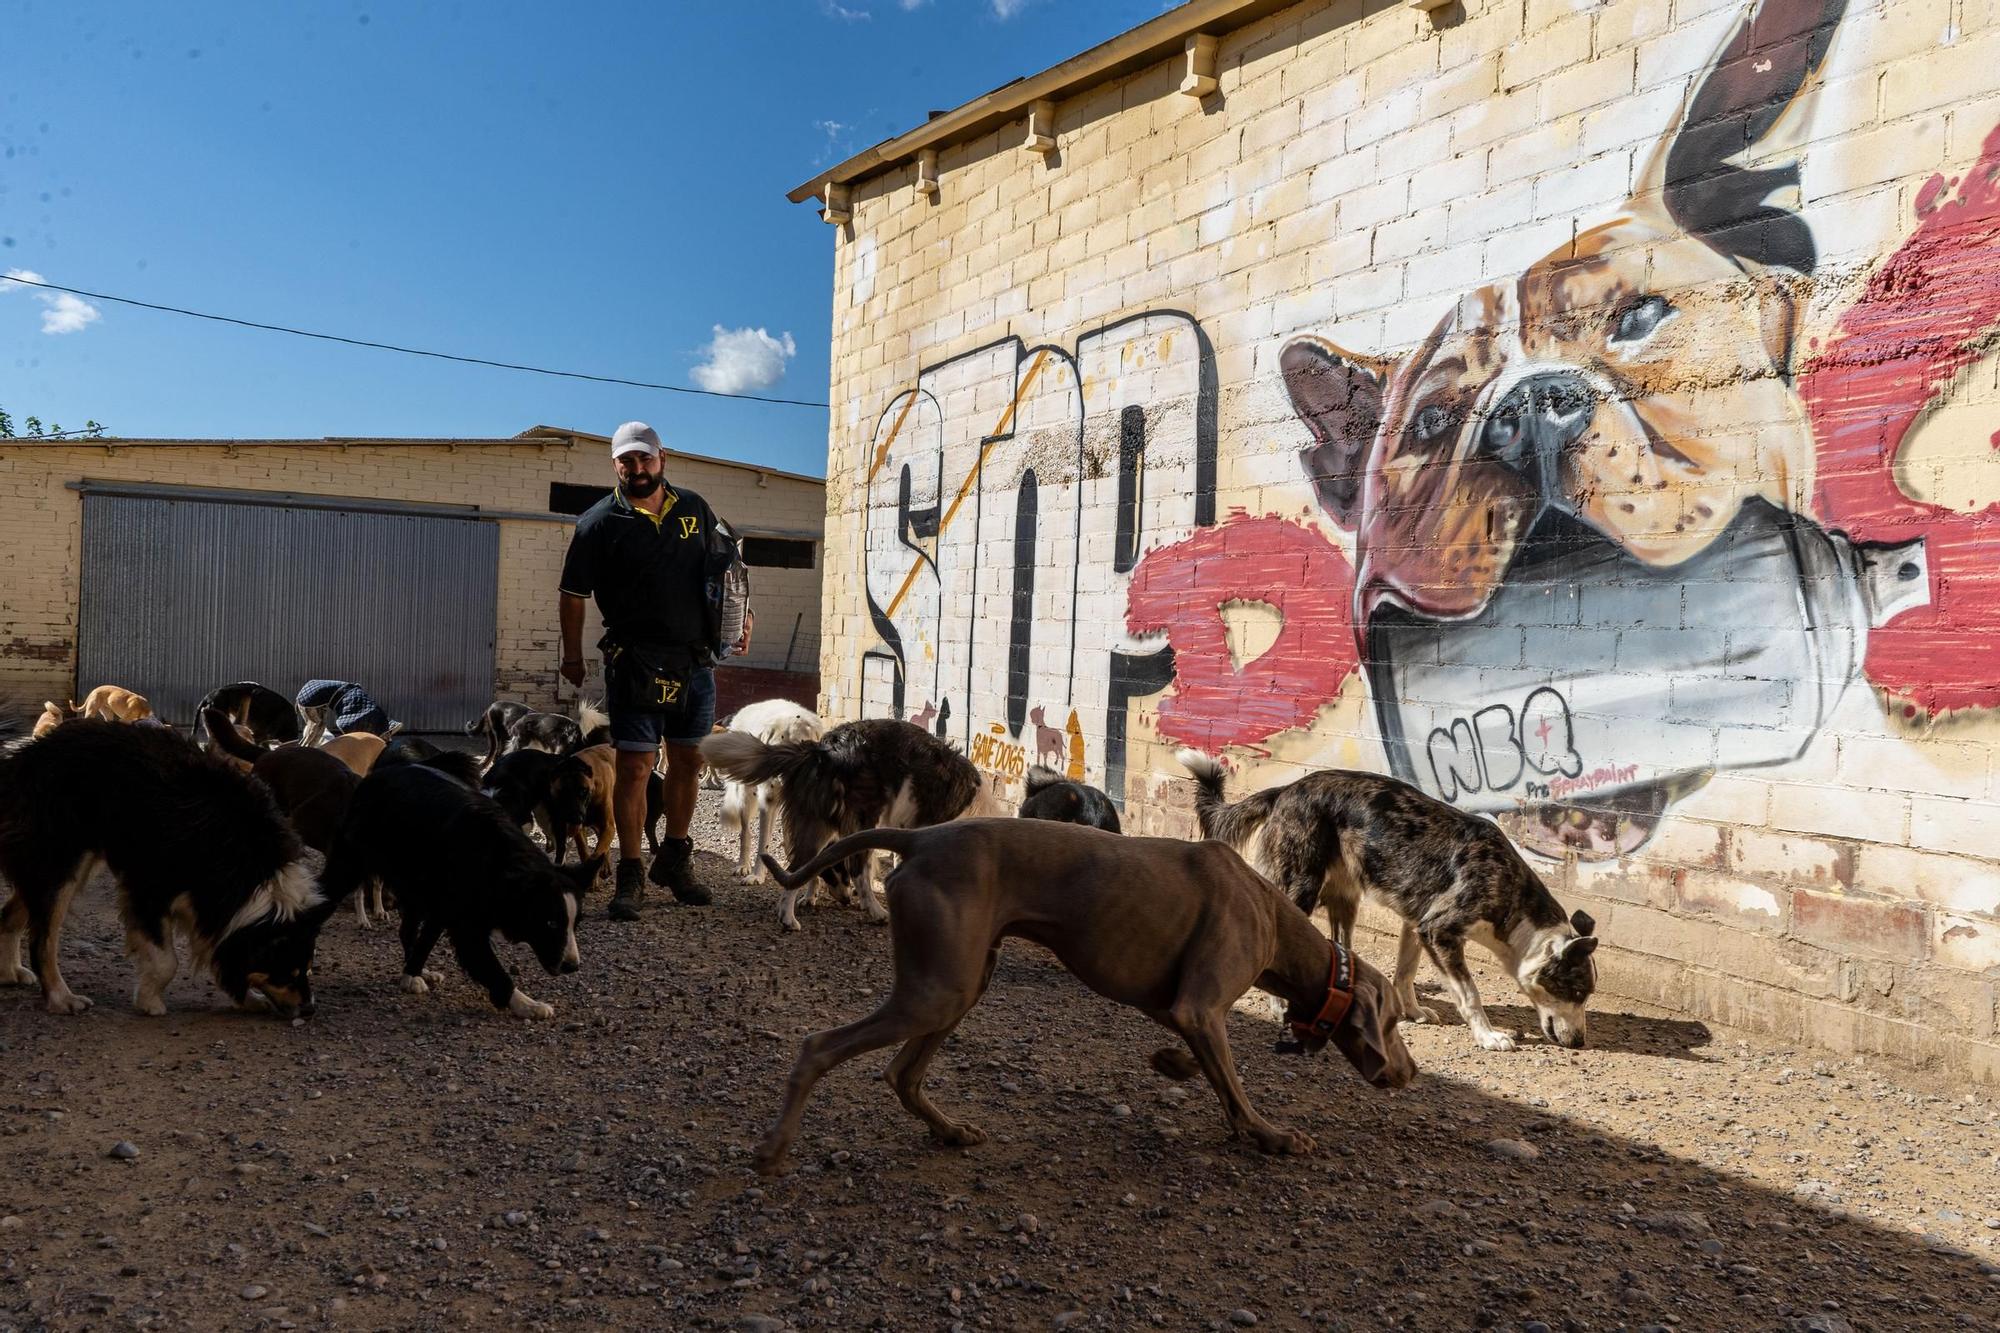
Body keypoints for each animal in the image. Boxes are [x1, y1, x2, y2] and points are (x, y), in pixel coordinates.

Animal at [0, 720, 324, 1012]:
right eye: (286, 972)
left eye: (307, 968)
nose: (309, 1009)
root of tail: (22, 757)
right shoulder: (147, 886)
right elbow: (167, 961)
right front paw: (149, 1002)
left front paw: (249, 999)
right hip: (62, 862)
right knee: (42, 939)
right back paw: (60, 998)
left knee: (10, 914)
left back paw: (9, 972)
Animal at [316, 764, 596, 1012]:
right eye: (550, 923)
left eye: (576, 923)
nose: (572, 966)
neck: (498, 861)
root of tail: (373, 777)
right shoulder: (465, 924)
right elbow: (491, 967)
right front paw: (526, 1004)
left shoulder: (446, 908)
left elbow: (427, 941)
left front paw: (412, 973)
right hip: (350, 866)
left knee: (407, 931)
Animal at [720, 700, 820, 876]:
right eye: (777, 752)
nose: (784, 778)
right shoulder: (767, 801)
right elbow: (763, 843)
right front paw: (757, 875)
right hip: (745, 797)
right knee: (745, 833)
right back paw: (742, 865)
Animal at [744, 816, 1416, 1168]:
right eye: (1394, 1025)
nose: (1409, 1073)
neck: (1275, 918)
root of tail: (922, 837)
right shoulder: (1200, 1005)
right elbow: (1233, 1083)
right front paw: (1272, 1135)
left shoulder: (1179, 1007)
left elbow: (1208, 1067)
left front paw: (1172, 1065)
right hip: (939, 989)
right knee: (819, 1046)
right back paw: (774, 1147)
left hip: (961, 982)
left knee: (902, 1075)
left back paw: (951, 1131)